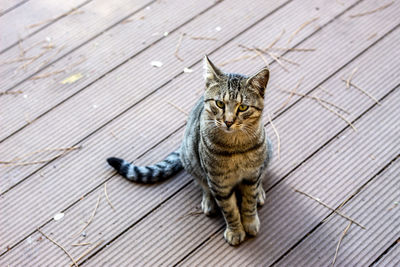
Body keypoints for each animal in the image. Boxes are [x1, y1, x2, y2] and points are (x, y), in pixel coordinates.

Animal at [107, 55, 272, 246]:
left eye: (243, 107)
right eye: (220, 104)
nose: (229, 122)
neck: (236, 146)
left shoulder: (252, 174)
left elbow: (248, 202)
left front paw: (250, 221)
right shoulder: (219, 182)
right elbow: (230, 210)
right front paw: (235, 230)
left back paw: (259, 193)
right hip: (192, 160)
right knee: (204, 185)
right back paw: (209, 202)